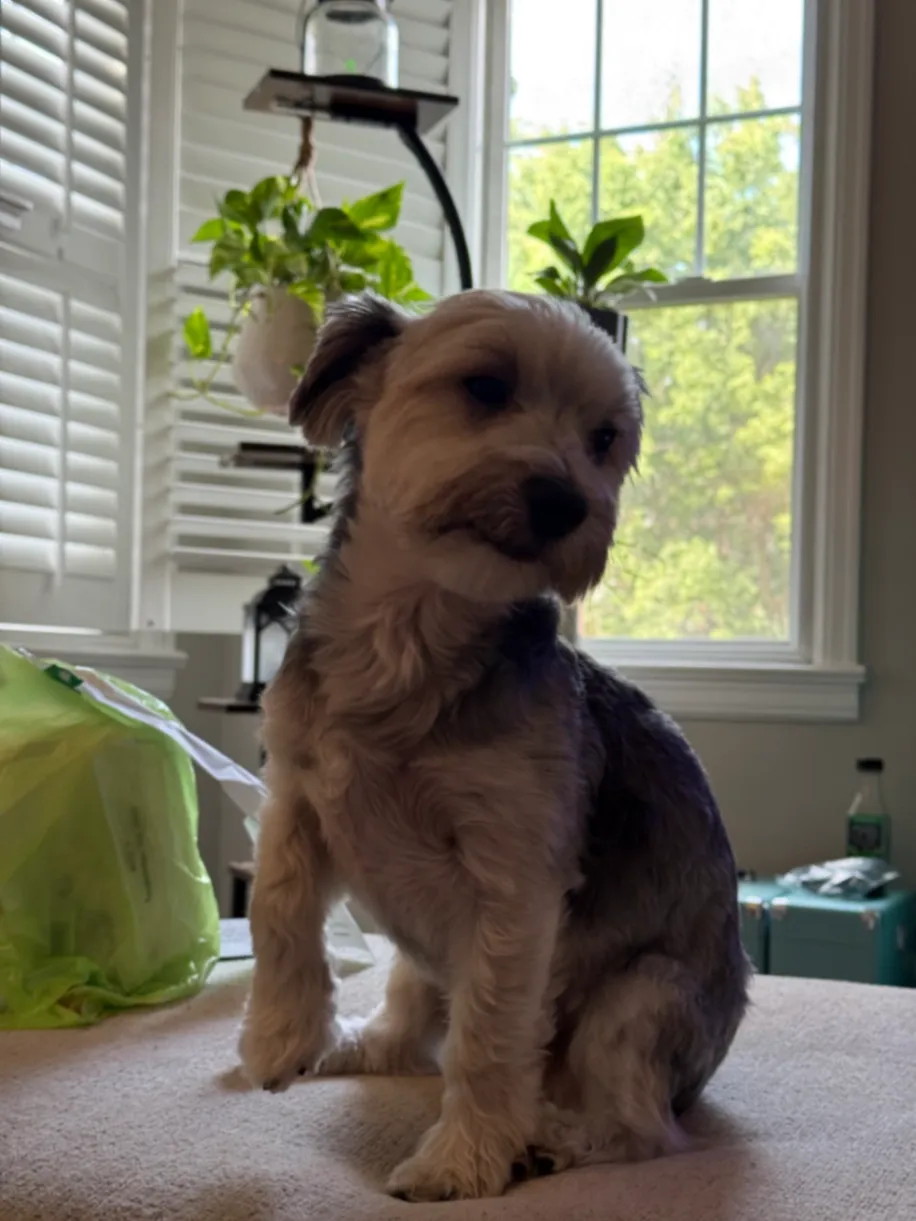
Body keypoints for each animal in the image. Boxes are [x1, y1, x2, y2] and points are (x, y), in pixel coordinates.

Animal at [239, 290, 749, 1202]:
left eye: (604, 438)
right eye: (484, 386)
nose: (566, 502)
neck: (407, 642)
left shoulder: (515, 881)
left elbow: (487, 1037)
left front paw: (461, 1159)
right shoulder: (298, 794)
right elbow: (278, 908)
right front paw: (280, 1037)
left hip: (639, 1002)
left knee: (648, 1130)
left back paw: (553, 1138)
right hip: (420, 961)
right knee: (410, 1017)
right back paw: (357, 1044)